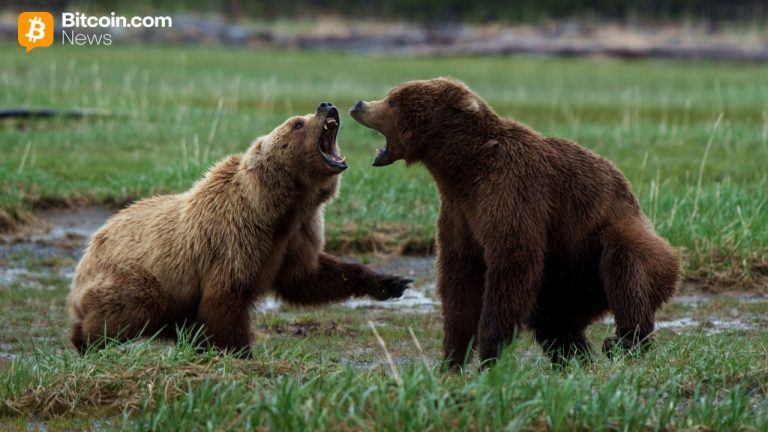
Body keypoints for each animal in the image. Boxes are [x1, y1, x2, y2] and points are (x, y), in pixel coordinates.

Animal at [67, 102, 411, 356]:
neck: (281, 207)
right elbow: (225, 298)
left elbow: (309, 276)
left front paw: (391, 282)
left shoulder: (298, 233)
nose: (326, 105)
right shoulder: (236, 236)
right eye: (297, 123)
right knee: (133, 303)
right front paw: (240, 352)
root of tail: (89, 249)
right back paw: (87, 340)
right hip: (135, 274)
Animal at [350, 78, 680, 368]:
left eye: (393, 100)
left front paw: (489, 354)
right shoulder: (459, 211)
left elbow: (511, 263)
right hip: (568, 276)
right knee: (552, 316)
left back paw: (624, 342)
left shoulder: (512, 191)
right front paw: (451, 360)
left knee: (626, 265)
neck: (462, 168)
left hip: (608, 240)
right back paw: (577, 357)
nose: (358, 104)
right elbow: (459, 277)